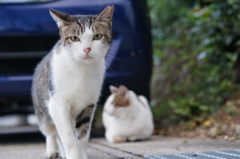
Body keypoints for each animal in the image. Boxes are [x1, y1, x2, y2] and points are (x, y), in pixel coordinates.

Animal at [31, 5, 114, 159]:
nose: (87, 49)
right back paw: (52, 150)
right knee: (52, 132)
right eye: (75, 38)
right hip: (44, 112)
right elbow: (68, 137)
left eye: (97, 36)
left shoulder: (89, 105)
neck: (81, 69)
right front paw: (73, 154)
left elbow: (82, 134)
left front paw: (81, 154)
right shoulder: (58, 104)